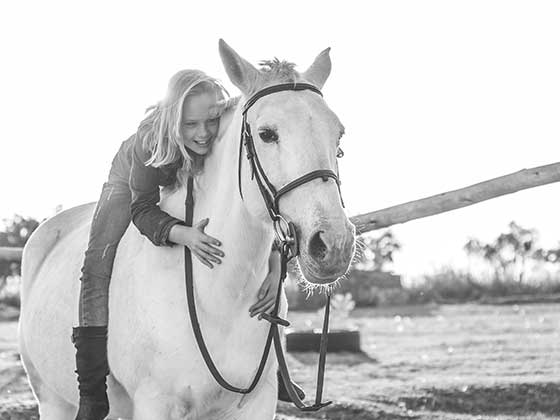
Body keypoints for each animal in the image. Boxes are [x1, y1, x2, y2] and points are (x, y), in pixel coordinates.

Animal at [19, 40, 356, 420]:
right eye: (267, 134)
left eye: (338, 134)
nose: (334, 244)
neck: (220, 297)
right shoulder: (154, 403)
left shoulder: (259, 401)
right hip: (52, 400)